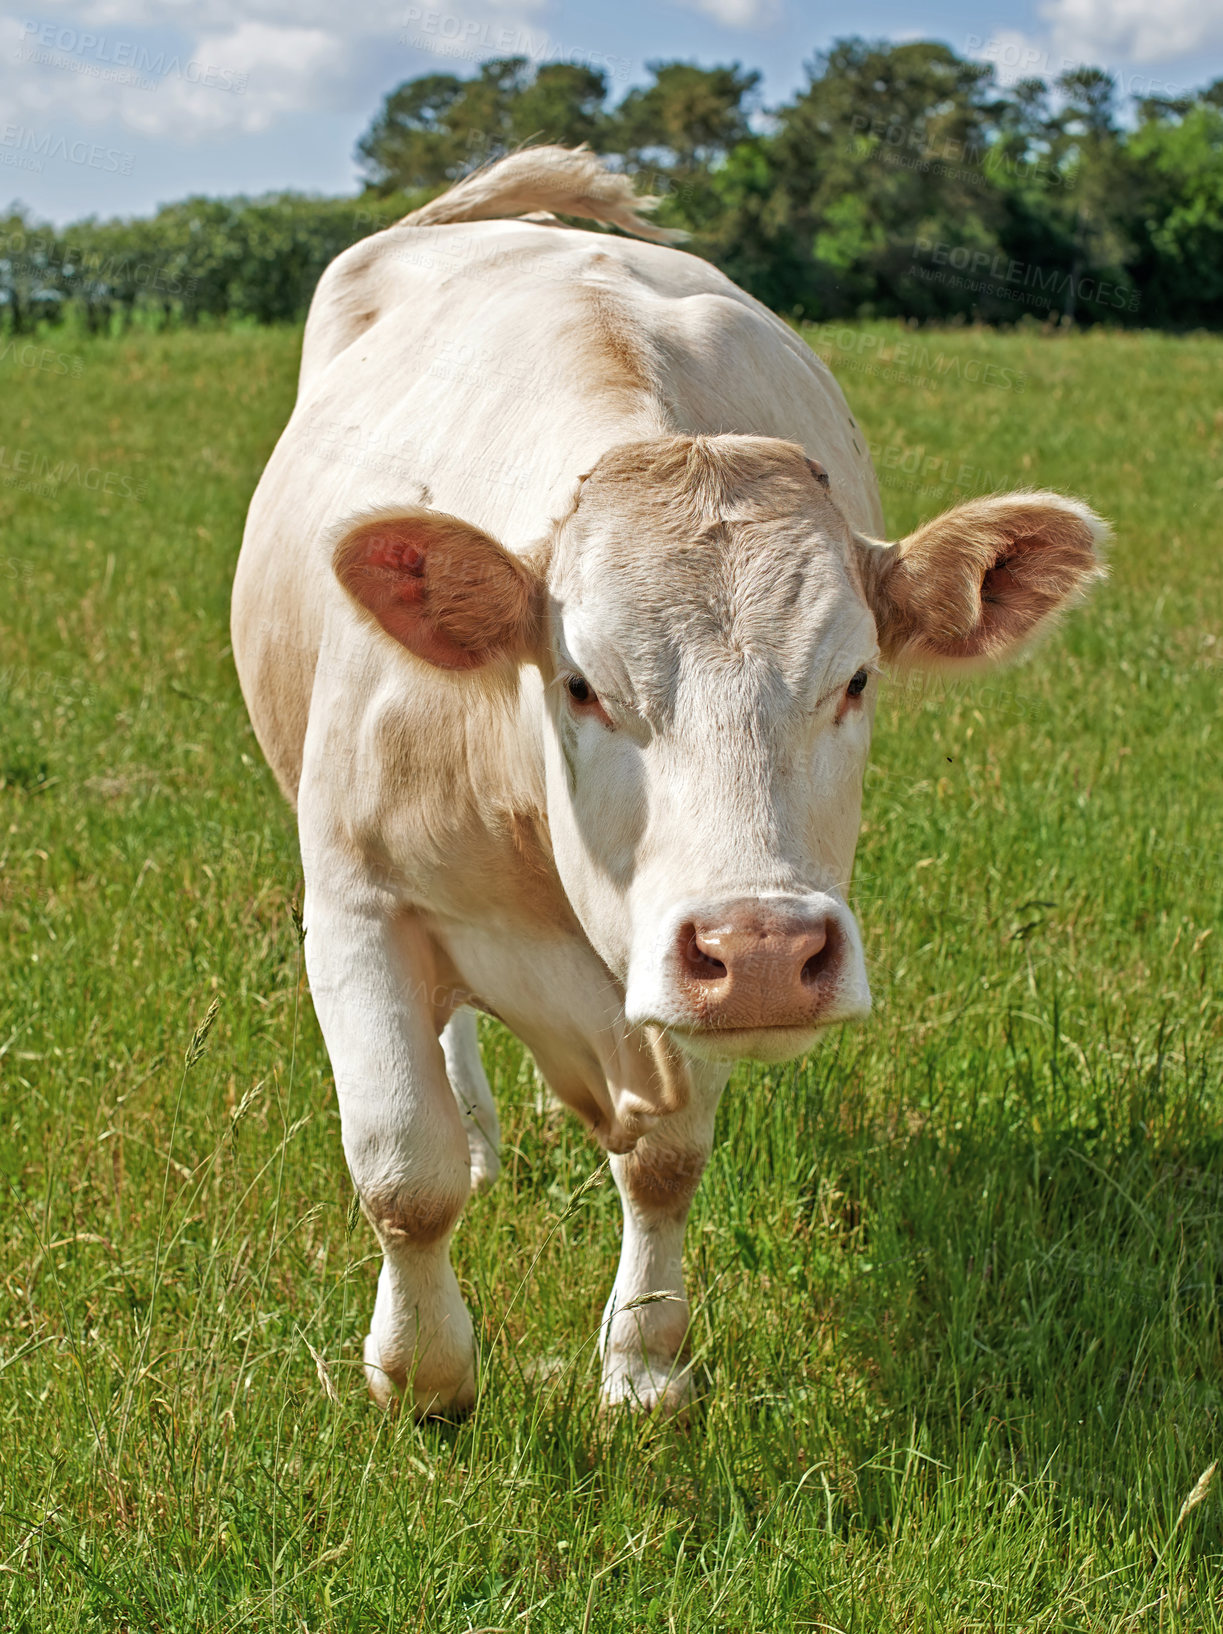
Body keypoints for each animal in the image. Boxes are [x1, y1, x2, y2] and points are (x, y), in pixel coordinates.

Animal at [232, 147, 1105, 1418]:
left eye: (854, 678)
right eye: (581, 683)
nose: (761, 949)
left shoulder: (669, 959)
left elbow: (662, 1162)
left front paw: (643, 1363)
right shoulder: (354, 898)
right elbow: (404, 1167)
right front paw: (424, 1374)